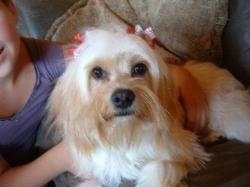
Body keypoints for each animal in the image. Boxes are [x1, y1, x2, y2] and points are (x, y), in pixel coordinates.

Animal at [38, 28, 250, 187]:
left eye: (139, 68)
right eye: (96, 72)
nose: (123, 97)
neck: (125, 133)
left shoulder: (181, 149)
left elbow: (160, 167)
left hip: (235, 119)